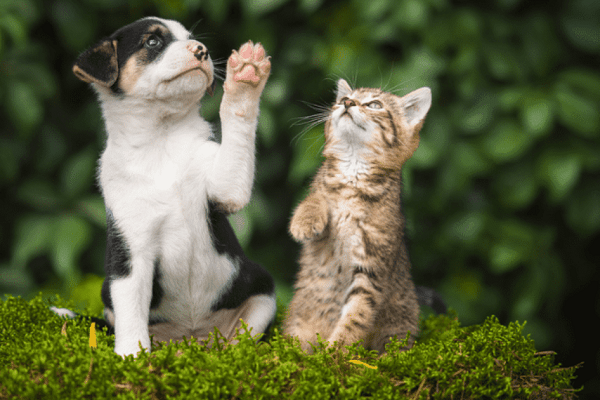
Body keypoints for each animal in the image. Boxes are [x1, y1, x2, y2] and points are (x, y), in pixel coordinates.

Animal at [69, 17, 274, 358]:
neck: (161, 139)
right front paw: (131, 357)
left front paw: (246, 76)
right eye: (152, 42)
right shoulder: (131, 253)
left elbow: (238, 116)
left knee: (241, 338)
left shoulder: (226, 189)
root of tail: (191, 339)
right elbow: (131, 315)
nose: (202, 51)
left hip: (262, 290)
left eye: (191, 38)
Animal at [282, 79, 432, 354]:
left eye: (375, 104)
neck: (353, 171)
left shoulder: (371, 269)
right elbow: (315, 197)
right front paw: (304, 220)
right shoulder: (322, 190)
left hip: (400, 322)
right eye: (344, 98)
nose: (347, 102)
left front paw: (334, 353)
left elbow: (356, 317)